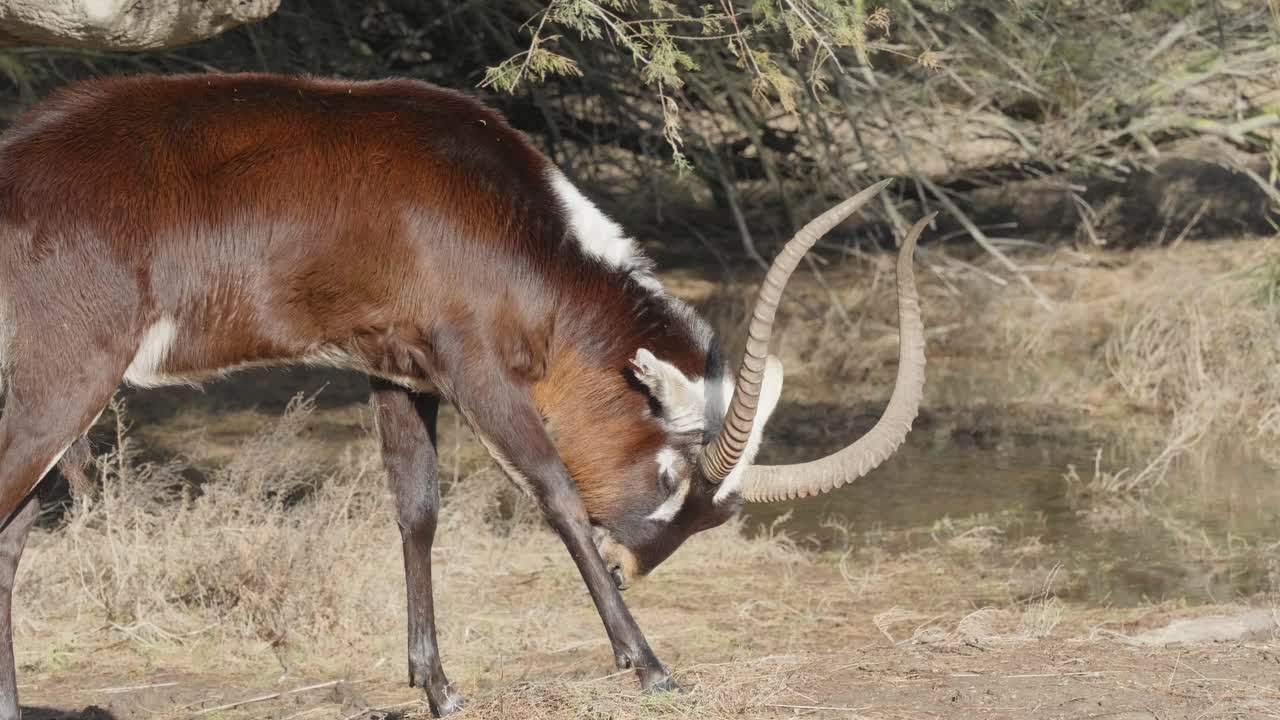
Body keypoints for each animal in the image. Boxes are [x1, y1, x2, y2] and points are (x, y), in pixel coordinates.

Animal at [0, 72, 928, 717]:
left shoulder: (395, 372)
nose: (629, 566)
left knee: (11, 538)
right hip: (66, 387)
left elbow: (417, 511)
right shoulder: (476, 368)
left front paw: (439, 687)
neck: (517, 219)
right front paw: (650, 667)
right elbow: (556, 495)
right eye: (670, 478)